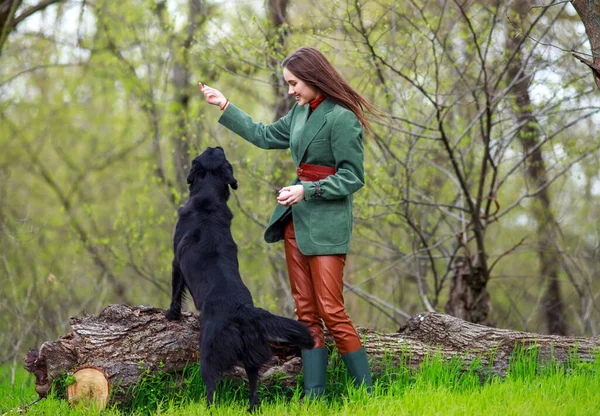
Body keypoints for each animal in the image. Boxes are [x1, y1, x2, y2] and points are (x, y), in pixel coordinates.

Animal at [164, 146, 314, 410]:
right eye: (217, 153)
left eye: (207, 151)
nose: (217, 146)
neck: (208, 200)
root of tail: (245, 312)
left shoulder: (176, 263)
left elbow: (175, 292)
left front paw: (171, 315)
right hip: (252, 355)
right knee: (254, 387)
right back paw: (252, 407)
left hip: (208, 354)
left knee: (211, 388)